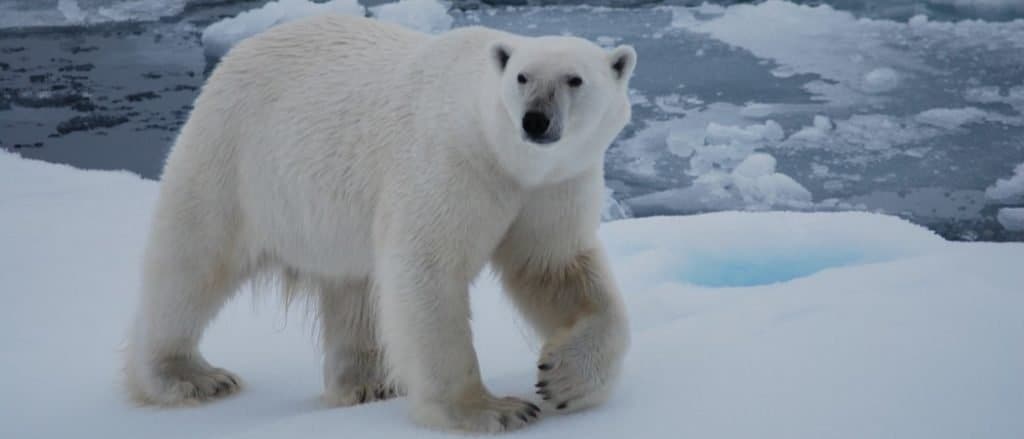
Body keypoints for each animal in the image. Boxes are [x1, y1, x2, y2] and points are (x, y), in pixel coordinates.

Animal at [123, 12, 634, 431]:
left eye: (575, 79)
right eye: (522, 77)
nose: (535, 120)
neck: (504, 155)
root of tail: (238, 52)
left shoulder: (554, 185)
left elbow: (555, 267)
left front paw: (564, 380)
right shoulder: (452, 164)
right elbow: (428, 270)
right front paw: (492, 410)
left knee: (353, 290)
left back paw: (367, 383)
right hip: (234, 158)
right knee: (192, 262)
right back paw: (188, 377)